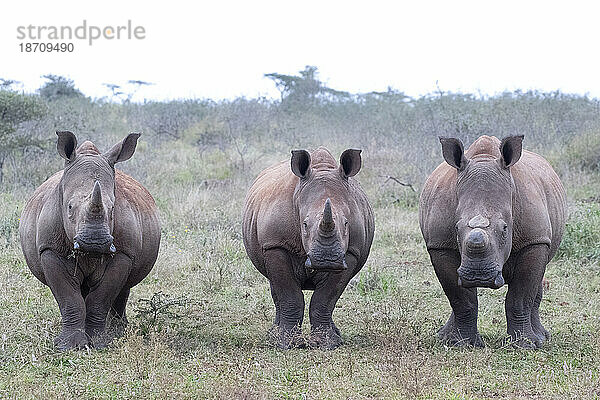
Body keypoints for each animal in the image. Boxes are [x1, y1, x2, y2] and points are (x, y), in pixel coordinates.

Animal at [19, 132, 161, 350]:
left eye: (112, 209)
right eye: (69, 207)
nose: (94, 243)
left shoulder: (123, 253)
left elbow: (101, 298)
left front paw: (99, 342)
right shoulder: (50, 250)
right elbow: (69, 298)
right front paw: (68, 346)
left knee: (123, 288)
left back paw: (118, 331)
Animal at [241, 148, 372, 350]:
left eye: (346, 223)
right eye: (304, 224)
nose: (327, 260)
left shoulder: (351, 252)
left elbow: (326, 299)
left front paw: (326, 344)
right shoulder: (275, 244)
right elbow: (289, 294)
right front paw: (288, 343)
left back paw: (337, 336)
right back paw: (273, 336)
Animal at [420, 136, 564, 348]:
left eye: (505, 229)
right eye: (456, 228)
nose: (478, 276)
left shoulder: (534, 240)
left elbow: (520, 298)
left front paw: (523, 346)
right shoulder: (440, 245)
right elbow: (460, 298)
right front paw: (462, 344)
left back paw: (541, 339)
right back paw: (445, 337)